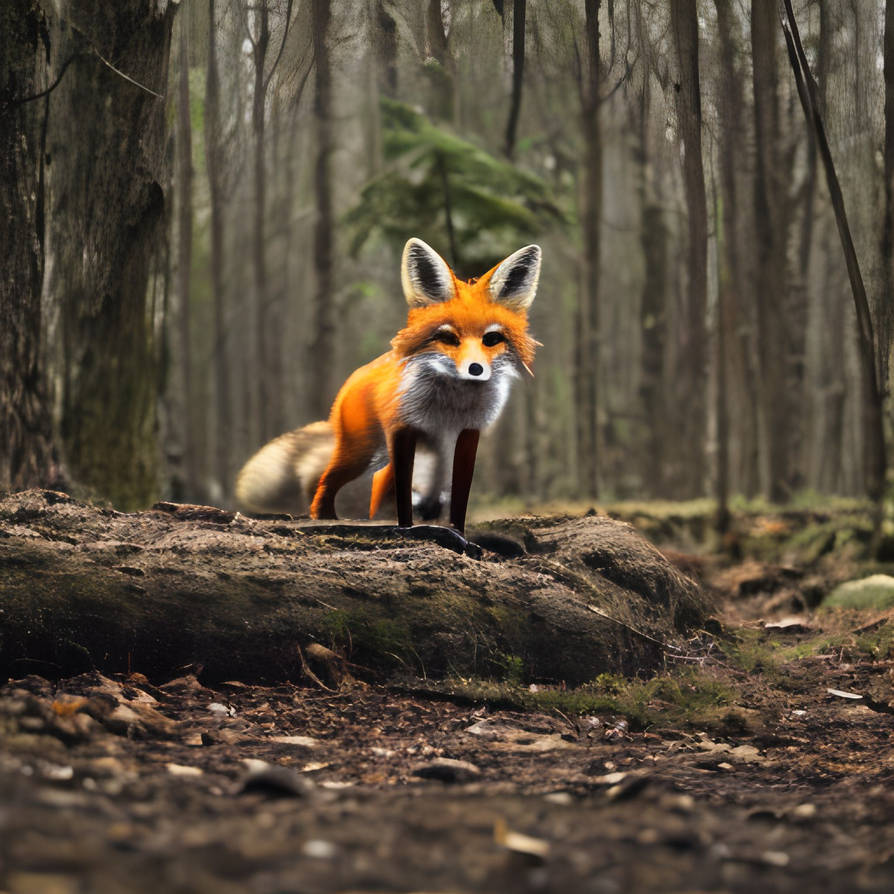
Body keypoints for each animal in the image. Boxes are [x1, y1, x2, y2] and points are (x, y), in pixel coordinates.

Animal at [235, 237, 541, 535]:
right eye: (447, 338)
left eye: (491, 339)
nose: (475, 369)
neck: (451, 408)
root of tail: (355, 377)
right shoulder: (404, 431)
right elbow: (404, 494)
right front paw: (408, 527)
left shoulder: (467, 434)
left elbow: (457, 495)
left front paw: (456, 529)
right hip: (362, 452)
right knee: (326, 480)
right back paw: (326, 517)